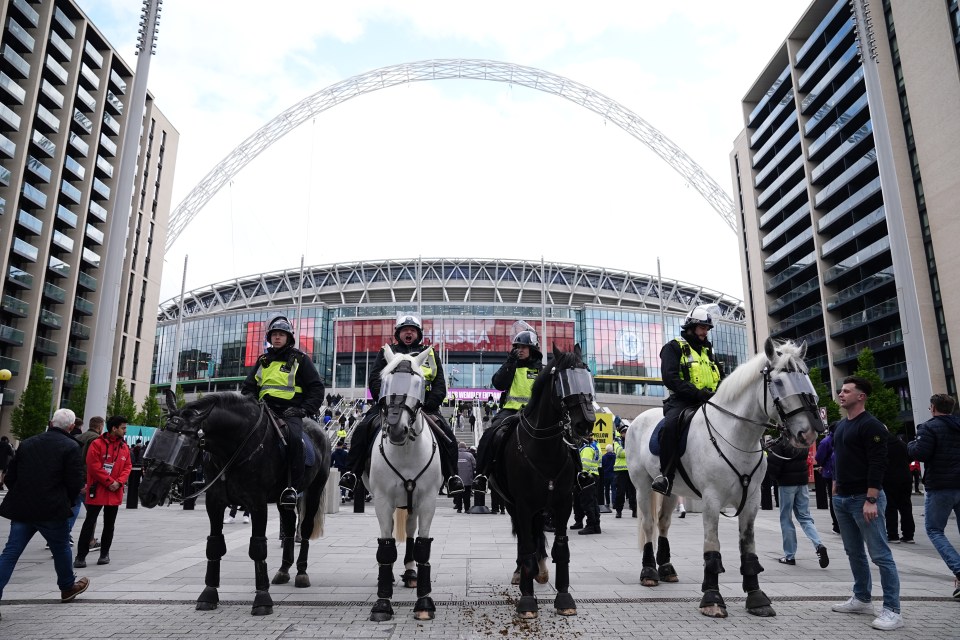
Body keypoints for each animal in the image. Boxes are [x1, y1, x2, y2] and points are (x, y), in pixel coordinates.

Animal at [137, 390, 334, 616]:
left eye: (182, 446)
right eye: (158, 440)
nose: (146, 494)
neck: (234, 448)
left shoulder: (257, 503)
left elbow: (258, 547)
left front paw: (262, 598)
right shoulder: (214, 503)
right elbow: (214, 545)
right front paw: (209, 594)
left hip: (314, 490)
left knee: (305, 527)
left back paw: (301, 572)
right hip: (283, 498)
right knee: (289, 525)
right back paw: (284, 570)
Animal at [364, 344, 446, 620]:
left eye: (419, 381)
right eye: (384, 380)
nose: (396, 428)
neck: (406, 450)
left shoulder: (428, 500)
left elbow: (422, 546)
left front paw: (424, 602)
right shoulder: (382, 500)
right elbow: (386, 548)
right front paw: (382, 602)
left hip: (413, 503)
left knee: (410, 531)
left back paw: (410, 573)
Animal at [492, 348, 596, 616]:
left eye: (587, 377)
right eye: (562, 381)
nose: (586, 422)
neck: (544, 449)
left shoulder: (563, 503)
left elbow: (561, 548)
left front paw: (564, 597)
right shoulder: (523, 504)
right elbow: (527, 545)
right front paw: (527, 600)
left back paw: (540, 571)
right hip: (514, 506)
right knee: (523, 538)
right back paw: (521, 573)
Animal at [628, 338, 820, 616]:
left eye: (805, 377)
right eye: (779, 382)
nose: (808, 434)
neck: (735, 435)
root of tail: (638, 419)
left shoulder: (751, 500)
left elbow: (748, 546)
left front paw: (756, 596)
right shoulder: (711, 500)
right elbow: (712, 546)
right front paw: (712, 597)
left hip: (671, 490)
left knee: (663, 524)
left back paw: (665, 568)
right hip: (642, 486)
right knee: (649, 525)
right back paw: (649, 572)